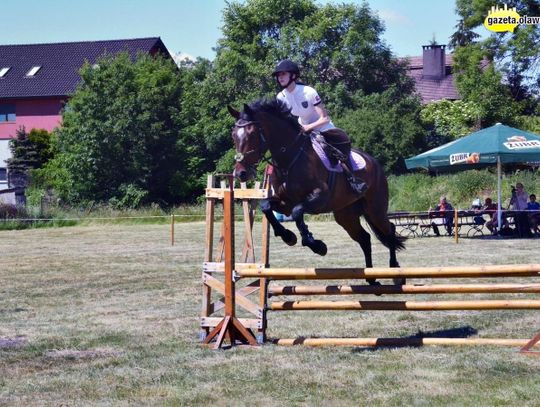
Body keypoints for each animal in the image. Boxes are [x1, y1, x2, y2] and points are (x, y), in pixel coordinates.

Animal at [227, 98, 404, 286]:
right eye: (233, 136)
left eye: (252, 134)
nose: (240, 173)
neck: (288, 159)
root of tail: (375, 163)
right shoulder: (284, 202)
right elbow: (266, 206)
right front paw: (288, 236)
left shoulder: (319, 196)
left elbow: (297, 212)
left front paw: (315, 244)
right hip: (346, 215)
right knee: (365, 238)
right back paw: (371, 278)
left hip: (375, 209)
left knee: (390, 230)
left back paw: (396, 273)